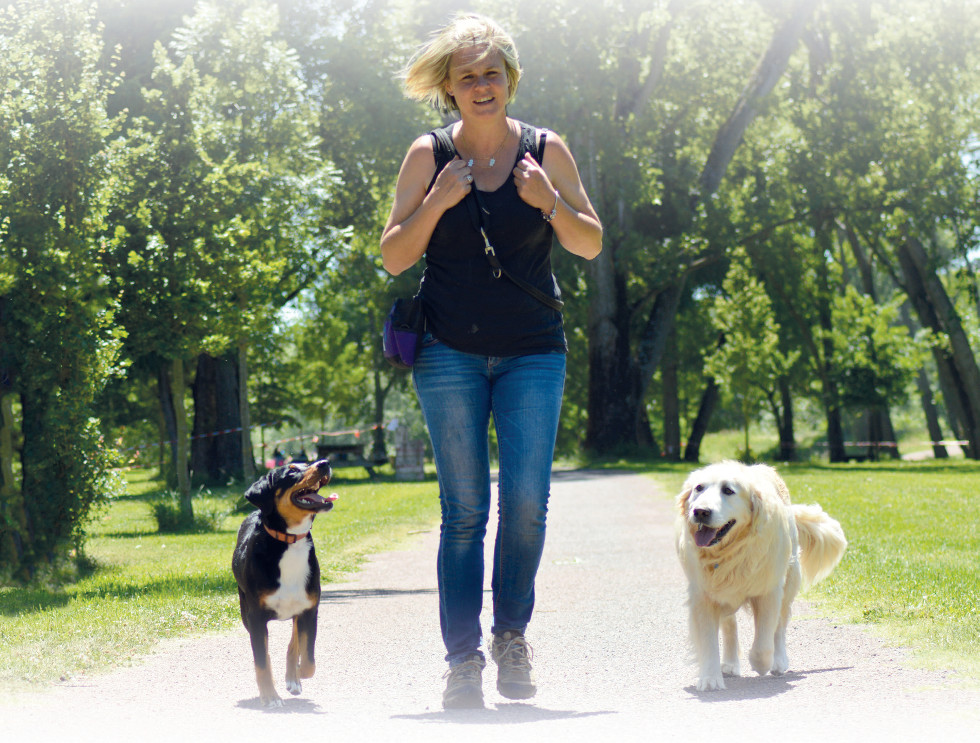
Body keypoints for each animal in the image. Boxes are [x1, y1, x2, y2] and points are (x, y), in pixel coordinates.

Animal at [233, 460, 336, 708]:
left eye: (307, 463)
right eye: (291, 471)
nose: (324, 463)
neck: (290, 542)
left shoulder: (309, 610)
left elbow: (308, 660)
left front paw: (296, 675)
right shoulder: (256, 617)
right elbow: (262, 661)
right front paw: (270, 696)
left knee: (294, 643)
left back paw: (292, 678)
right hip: (246, 613)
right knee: (266, 652)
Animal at [676, 460, 848, 692]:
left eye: (728, 490)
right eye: (698, 488)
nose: (700, 511)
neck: (730, 553)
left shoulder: (769, 592)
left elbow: (764, 642)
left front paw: (762, 663)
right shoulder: (703, 596)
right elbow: (708, 640)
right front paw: (710, 678)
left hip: (789, 582)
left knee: (780, 627)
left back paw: (779, 661)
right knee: (730, 625)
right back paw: (730, 663)